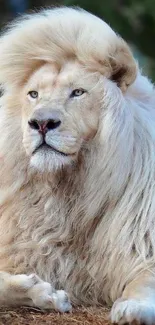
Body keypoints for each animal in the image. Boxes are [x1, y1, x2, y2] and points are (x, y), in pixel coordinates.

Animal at [0, 6, 155, 322]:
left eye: (78, 92)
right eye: (33, 94)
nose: (41, 123)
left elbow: (144, 283)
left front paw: (132, 308)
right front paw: (43, 294)